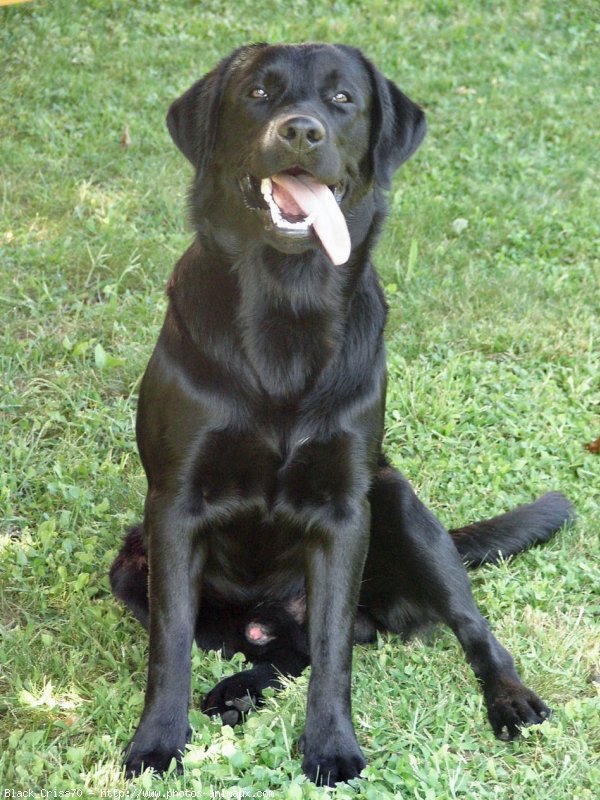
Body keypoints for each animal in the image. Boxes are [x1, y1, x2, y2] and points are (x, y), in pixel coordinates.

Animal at [110, 40, 576, 784]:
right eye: (259, 93)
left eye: (342, 100)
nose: (301, 132)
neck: (287, 305)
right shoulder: (175, 504)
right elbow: (171, 641)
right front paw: (157, 742)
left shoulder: (342, 511)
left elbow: (334, 651)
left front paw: (332, 746)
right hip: (133, 563)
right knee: (272, 653)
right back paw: (234, 691)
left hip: (398, 502)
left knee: (466, 628)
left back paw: (510, 698)